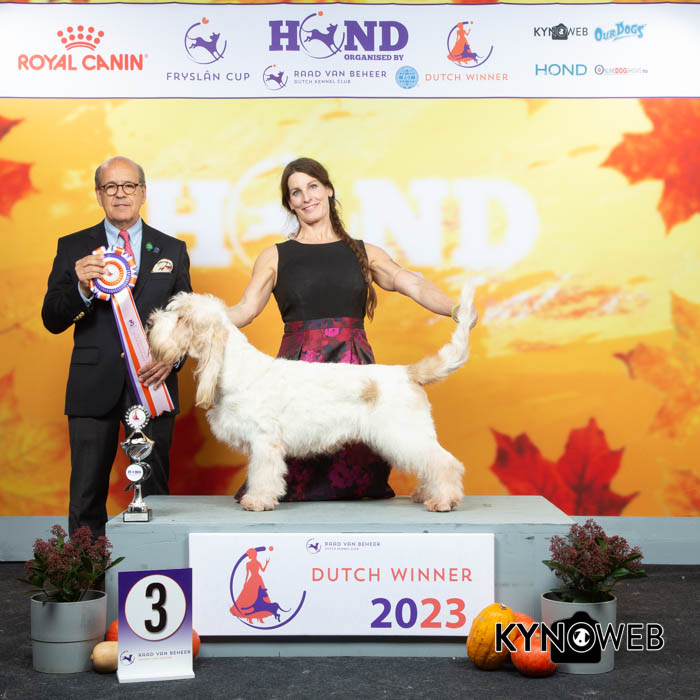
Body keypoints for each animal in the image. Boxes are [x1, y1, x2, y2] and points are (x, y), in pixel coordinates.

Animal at [147, 285, 477, 513]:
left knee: (444, 462)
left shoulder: (264, 441)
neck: (234, 367)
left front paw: (257, 500)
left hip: (404, 433)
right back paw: (427, 494)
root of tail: (409, 373)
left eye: (181, 318)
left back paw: (444, 500)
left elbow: (263, 473)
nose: (149, 322)